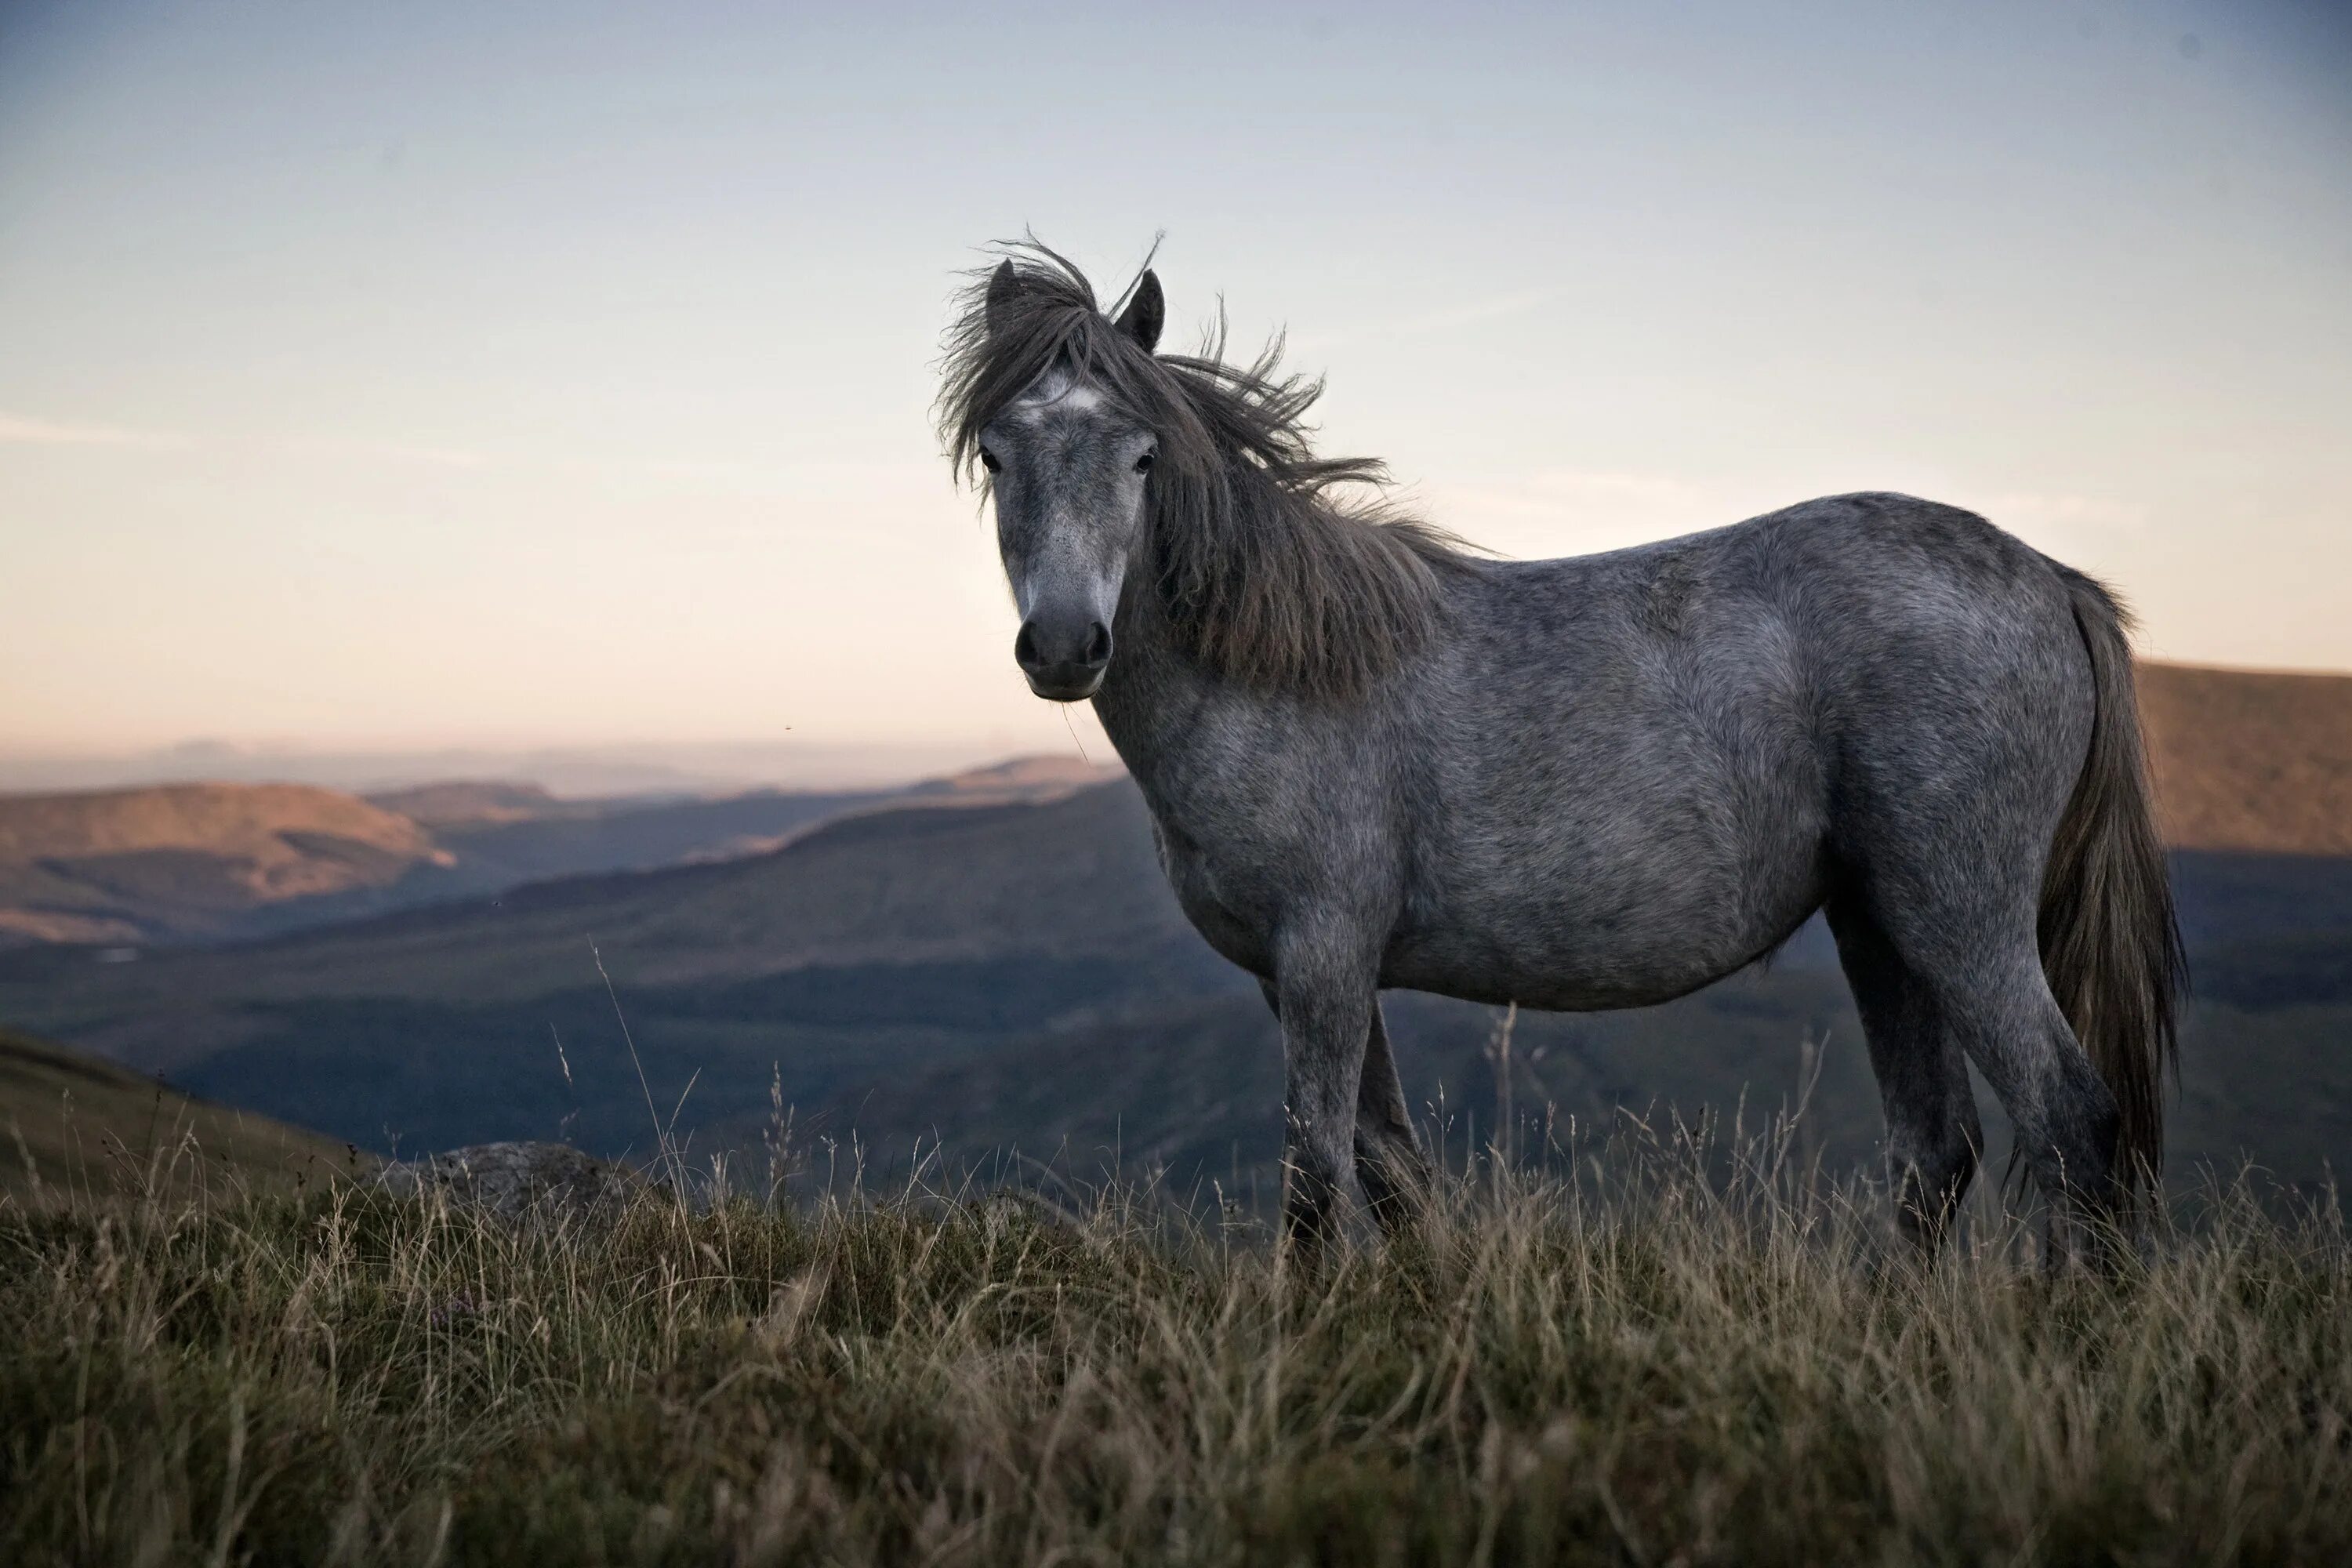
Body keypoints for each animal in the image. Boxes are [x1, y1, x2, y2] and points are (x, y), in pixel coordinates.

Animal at [927, 245, 2173, 1260]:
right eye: (996, 453)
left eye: (1141, 457)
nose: (1065, 644)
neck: (1281, 669)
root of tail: (2052, 579)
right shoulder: (1306, 975)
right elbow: (1390, 1172)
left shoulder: (1324, 956)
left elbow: (1316, 1181)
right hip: (1880, 923)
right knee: (1937, 1150)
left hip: (1960, 918)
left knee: (2069, 1120)